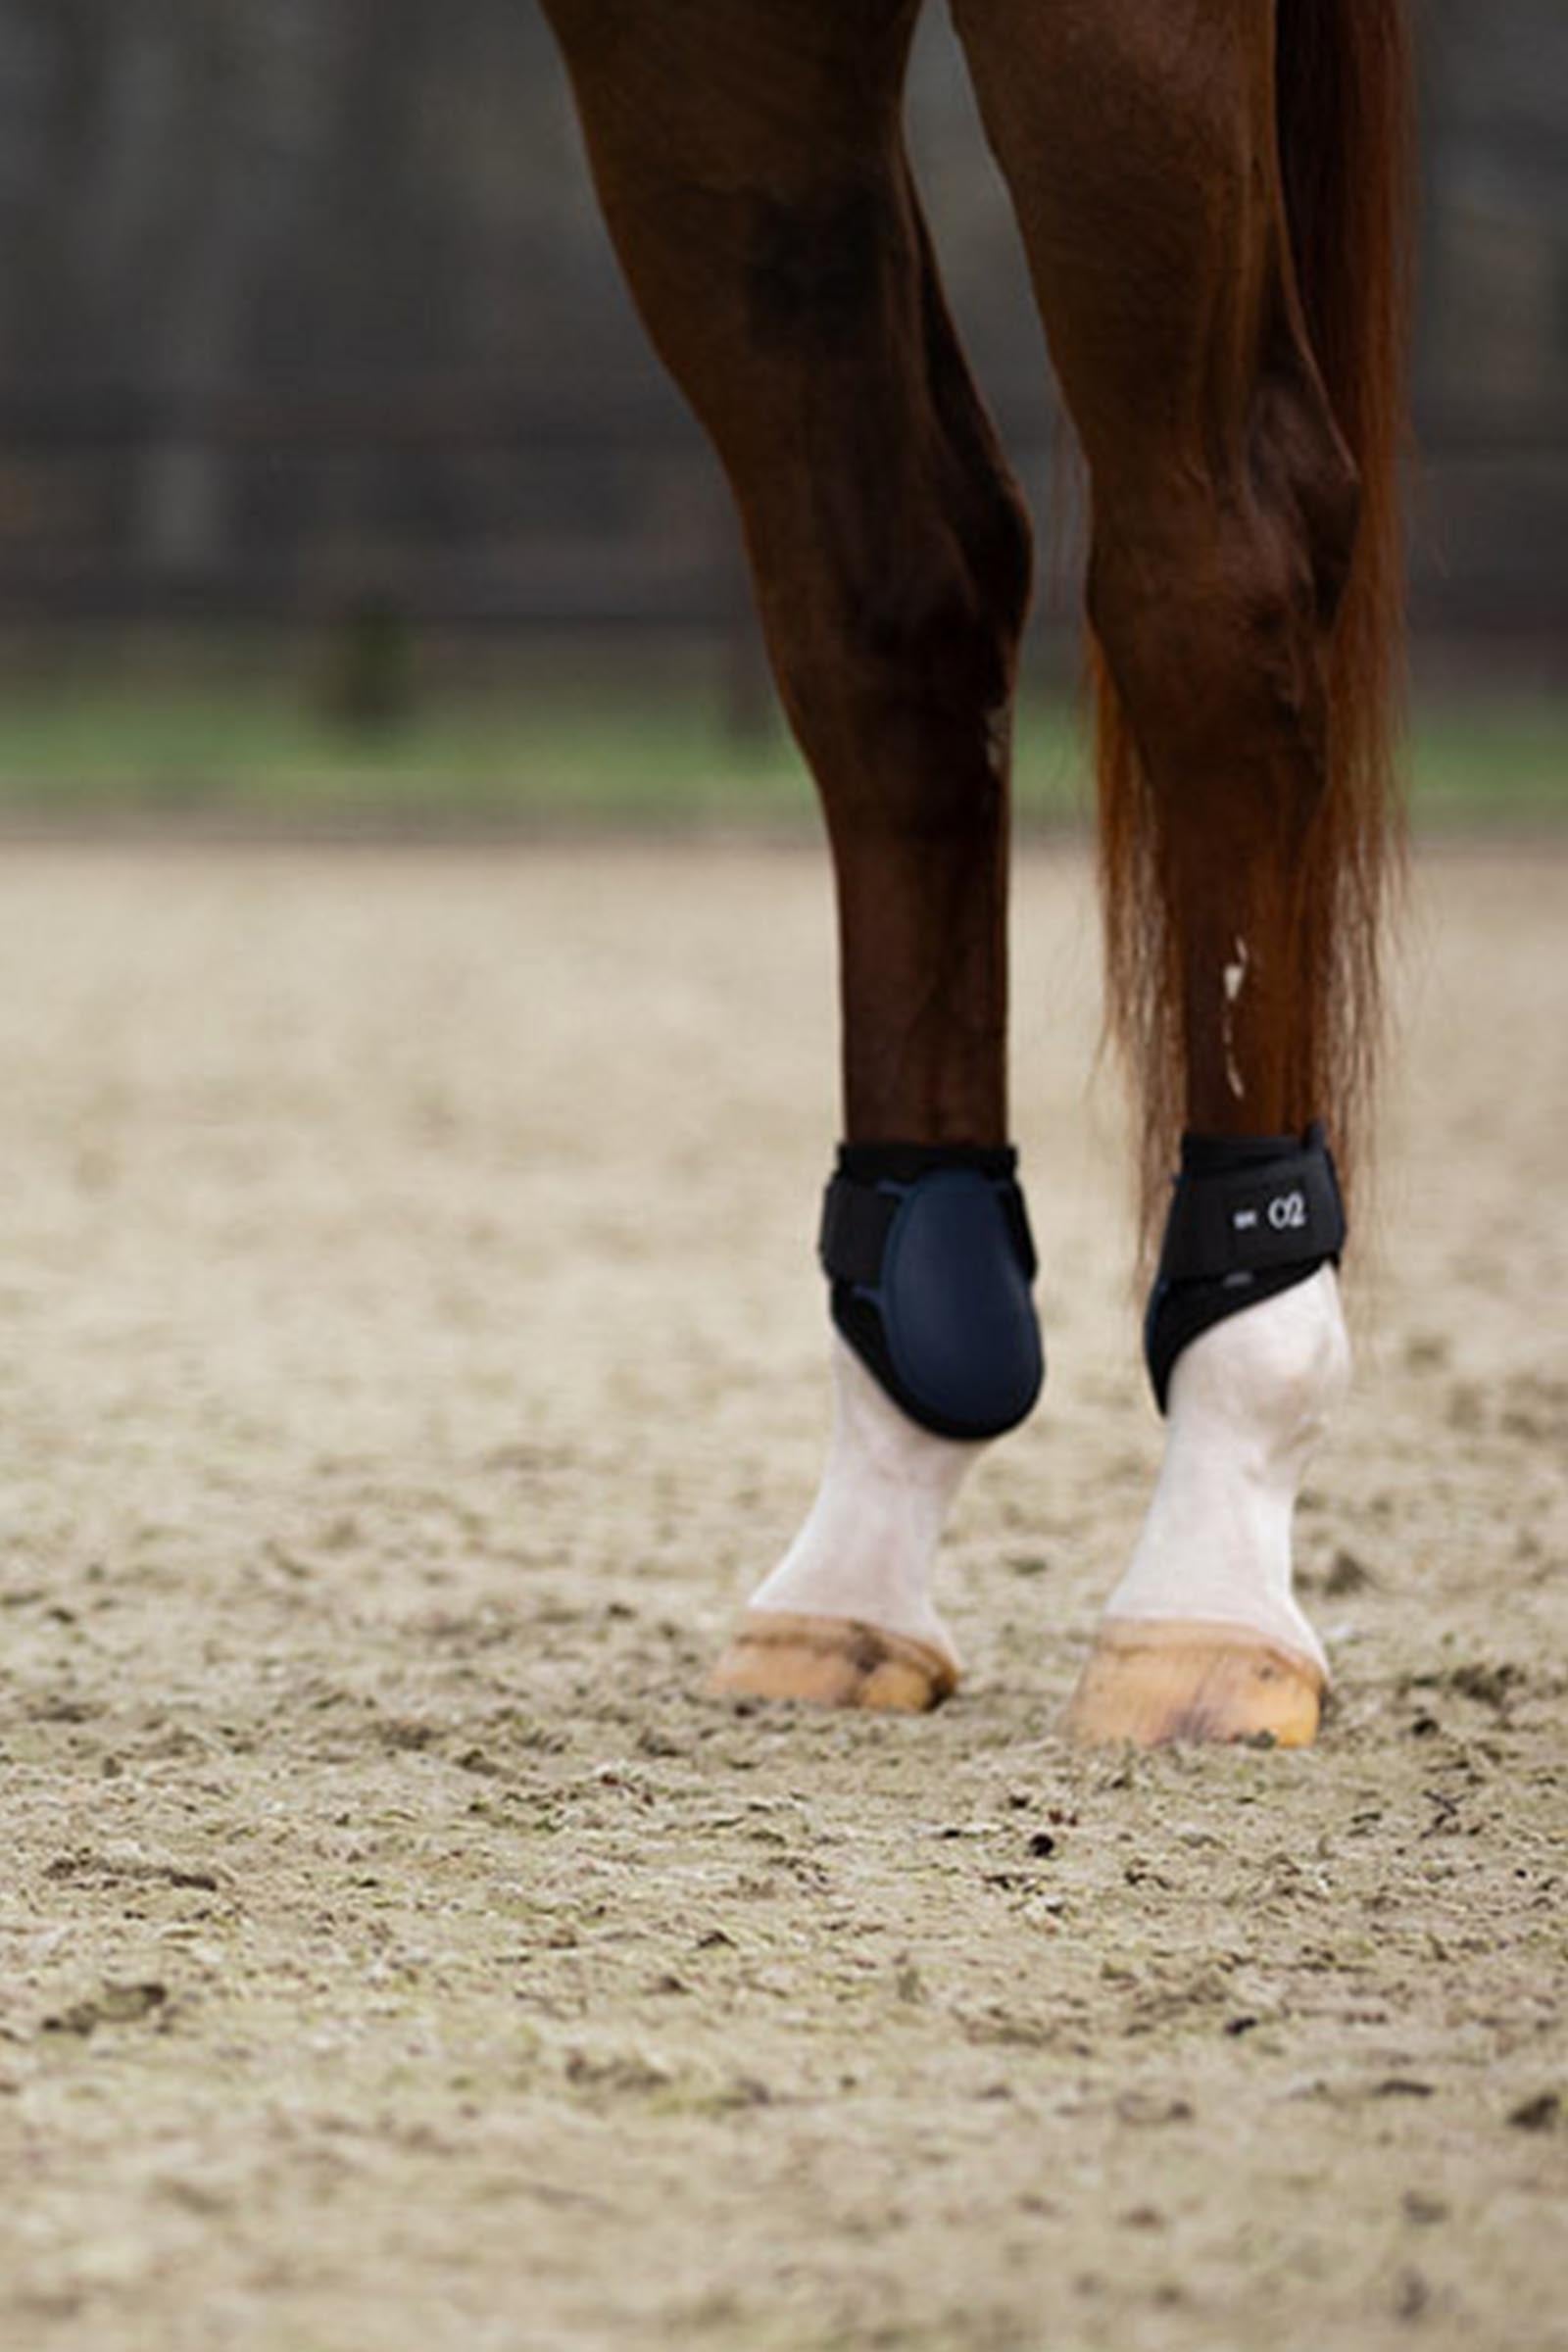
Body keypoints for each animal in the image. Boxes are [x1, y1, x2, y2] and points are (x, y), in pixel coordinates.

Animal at [540, 0, 1411, 1745]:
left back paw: (1209, 1572)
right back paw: (860, 1556)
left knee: (1222, 556)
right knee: (898, 599)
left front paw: (1209, 1584)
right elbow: (882, 610)